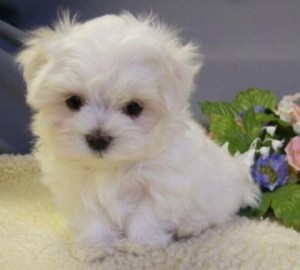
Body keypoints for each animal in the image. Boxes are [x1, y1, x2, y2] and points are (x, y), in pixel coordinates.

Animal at [17, 12, 260, 262]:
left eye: (134, 107)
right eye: (73, 101)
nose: (98, 139)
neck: (112, 167)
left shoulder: (161, 184)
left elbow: (146, 215)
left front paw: (139, 245)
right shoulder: (76, 185)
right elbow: (91, 217)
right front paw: (94, 246)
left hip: (215, 197)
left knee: (211, 216)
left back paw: (189, 226)